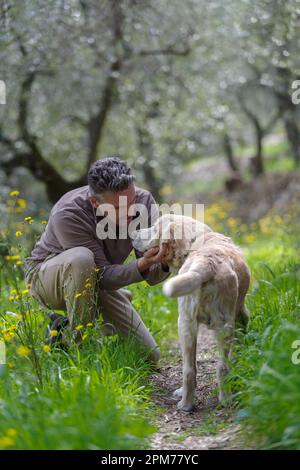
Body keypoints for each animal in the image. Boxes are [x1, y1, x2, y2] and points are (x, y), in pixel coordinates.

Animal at [132, 214, 251, 412]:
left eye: (155, 228)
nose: (132, 233)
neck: (196, 243)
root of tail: (206, 264)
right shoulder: (240, 312)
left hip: (186, 324)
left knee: (191, 369)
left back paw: (187, 404)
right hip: (210, 325)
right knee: (217, 367)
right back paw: (218, 400)